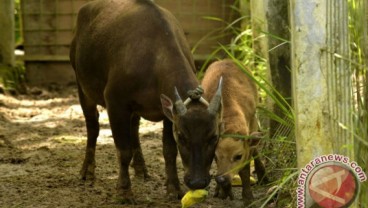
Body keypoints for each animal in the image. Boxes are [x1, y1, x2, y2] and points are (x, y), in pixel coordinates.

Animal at [201, 59, 268, 205]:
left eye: (238, 156)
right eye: (215, 156)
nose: (221, 179)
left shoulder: (251, 125)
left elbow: (245, 167)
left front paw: (248, 198)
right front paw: (222, 192)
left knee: (255, 148)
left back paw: (263, 176)